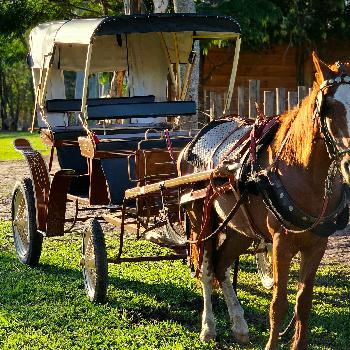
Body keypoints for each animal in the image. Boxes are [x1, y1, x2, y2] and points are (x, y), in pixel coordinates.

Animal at [178, 52, 350, 350]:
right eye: (329, 109)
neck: (301, 171)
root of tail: (192, 143)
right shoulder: (281, 243)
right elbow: (278, 303)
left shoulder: (317, 245)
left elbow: (303, 302)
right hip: (202, 220)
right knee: (208, 268)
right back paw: (208, 328)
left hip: (240, 229)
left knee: (222, 266)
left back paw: (239, 326)